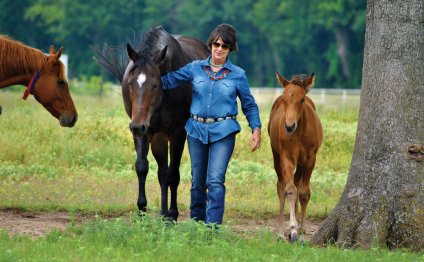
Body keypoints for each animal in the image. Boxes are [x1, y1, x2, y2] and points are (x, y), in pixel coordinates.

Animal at [95, 25, 210, 220]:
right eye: (130, 83)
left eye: (155, 85)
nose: (137, 126)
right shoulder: (145, 130)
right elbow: (142, 167)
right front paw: (142, 210)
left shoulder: (178, 132)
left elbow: (173, 174)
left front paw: (172, 215)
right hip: (157, 136)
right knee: (161, 171)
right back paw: (162, 212)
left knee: (169, 172)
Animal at [266, 72, 322, 242]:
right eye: (284, 98)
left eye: (301, 99)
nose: (289, 126)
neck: (300, 133)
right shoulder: (287, 158)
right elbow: (290, 190)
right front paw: (293, 228)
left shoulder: (310, 159)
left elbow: (304, 192)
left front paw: (301, 229)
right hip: (277, 156)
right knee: (281, 186)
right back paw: (280, 231)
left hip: (302, 163)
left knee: (298, 183)